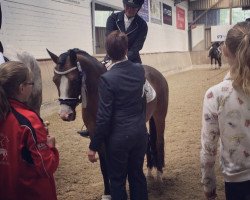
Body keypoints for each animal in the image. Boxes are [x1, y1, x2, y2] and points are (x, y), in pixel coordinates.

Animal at [46, 48, 169, 198]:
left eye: (74, 80)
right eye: (55, 80)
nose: (65, 114)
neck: (98, 95)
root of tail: (156, 73)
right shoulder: (95, 134)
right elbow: (105, 165)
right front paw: (107, 193)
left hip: (159, 116)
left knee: (159, 142)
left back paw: (159, 176)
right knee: (148, 142)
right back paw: (150, 172)